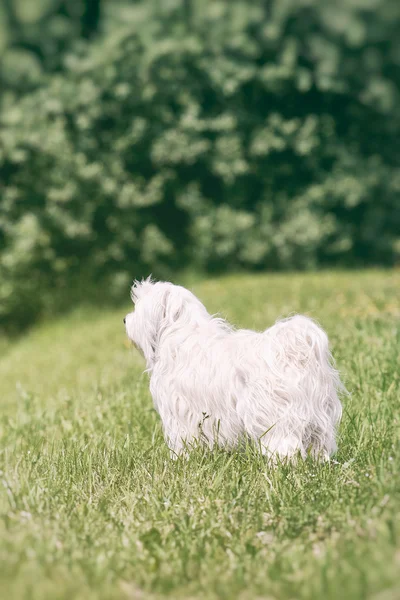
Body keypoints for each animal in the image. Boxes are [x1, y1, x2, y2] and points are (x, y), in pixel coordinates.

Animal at [125, 278, 344, 460]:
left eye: (137, 308)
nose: (125, 320)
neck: (181, 333)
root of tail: (292, 351)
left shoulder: (180, 410)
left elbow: (181, 438)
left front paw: (180, 461)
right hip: (319, 414)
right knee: (319, 442)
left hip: (274, 416)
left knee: (284, 444)